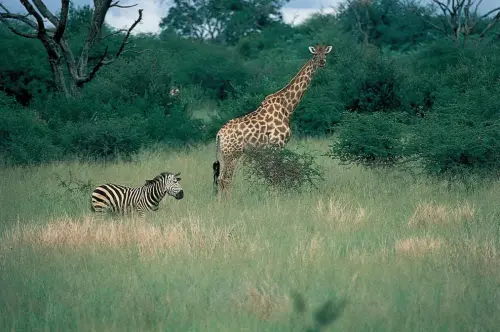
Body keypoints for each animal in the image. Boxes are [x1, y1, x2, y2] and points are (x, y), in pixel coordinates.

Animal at [213, 42, 334, 197]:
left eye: (325, 53)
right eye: (315, 54)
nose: (322, 62)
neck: (287, 108)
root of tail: (219, 135)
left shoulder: (273, 147)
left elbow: (274, 172)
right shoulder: (277, 144)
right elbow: (276, 172)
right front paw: (276, 197)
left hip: (225, 154)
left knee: (221, 178)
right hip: (233, 153)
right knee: (226, 179)